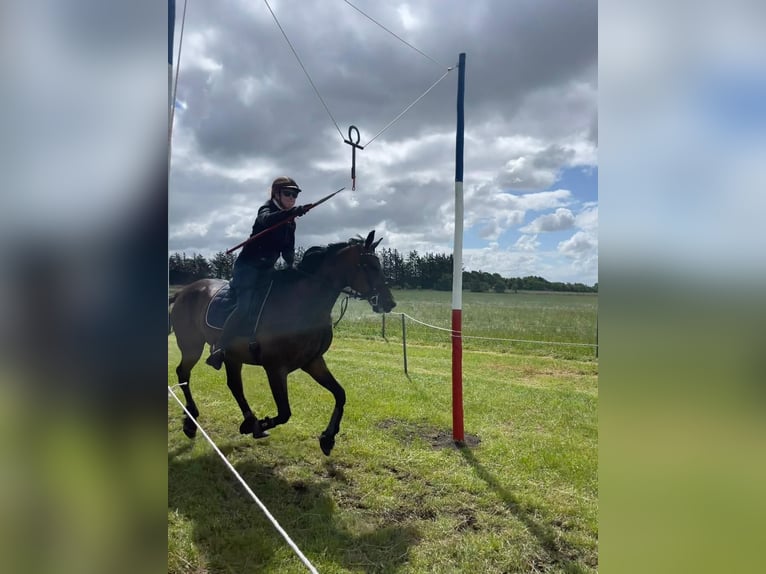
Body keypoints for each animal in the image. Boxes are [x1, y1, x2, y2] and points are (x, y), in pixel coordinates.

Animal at [168, 232, 396, 456]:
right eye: (370, 266)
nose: (389, 302)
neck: (301, 304)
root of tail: (183, 292)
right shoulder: (275, 368)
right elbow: (285, 412)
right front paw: (259, 424)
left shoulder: (313, 362)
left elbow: (340, 394)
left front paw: (328, 438)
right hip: (192, 346)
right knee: (183, 374)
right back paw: (191, 422)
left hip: (232, 356)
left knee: (234, 385)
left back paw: (246, 420)